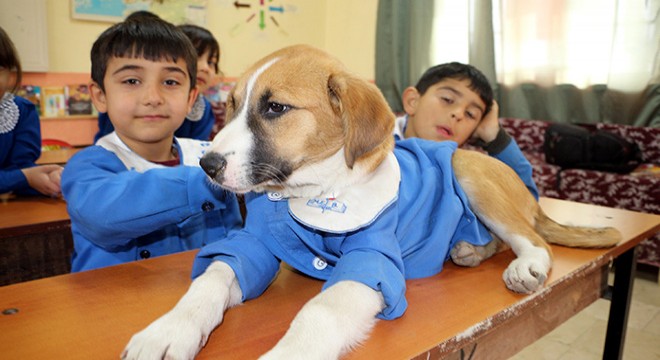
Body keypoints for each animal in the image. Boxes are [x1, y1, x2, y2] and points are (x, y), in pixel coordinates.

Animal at [124, 45, 624, 360]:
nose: (207, 166)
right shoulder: (254, 245)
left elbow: (320, 311)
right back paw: (468, 249)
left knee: (533, 239)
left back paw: (523, 266)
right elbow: (209, 281)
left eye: (275, 108)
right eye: (228, 106)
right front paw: (168, 331)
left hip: (466, 166)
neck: (308, 192)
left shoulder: (372, 261)